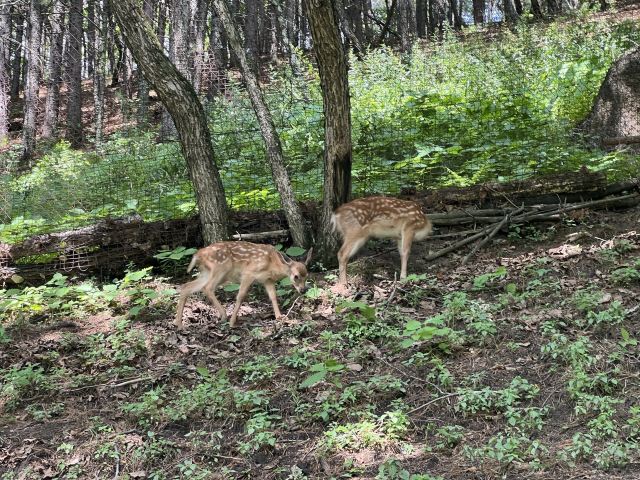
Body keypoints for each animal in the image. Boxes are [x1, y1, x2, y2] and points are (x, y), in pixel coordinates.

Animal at [174, 241, 312, 329]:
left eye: (307, 276)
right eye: (296, 276)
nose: (303, 290)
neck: (273, 264)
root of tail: (197, 255)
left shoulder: (267, 280)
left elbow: (273, 296)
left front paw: (279, 317)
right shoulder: (248, 273)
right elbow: (241, 296)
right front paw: (232, 322)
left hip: (207, 272)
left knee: (186, 287)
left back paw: (179, 324)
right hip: (220, 268)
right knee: (207, 287)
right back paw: (224, 316)